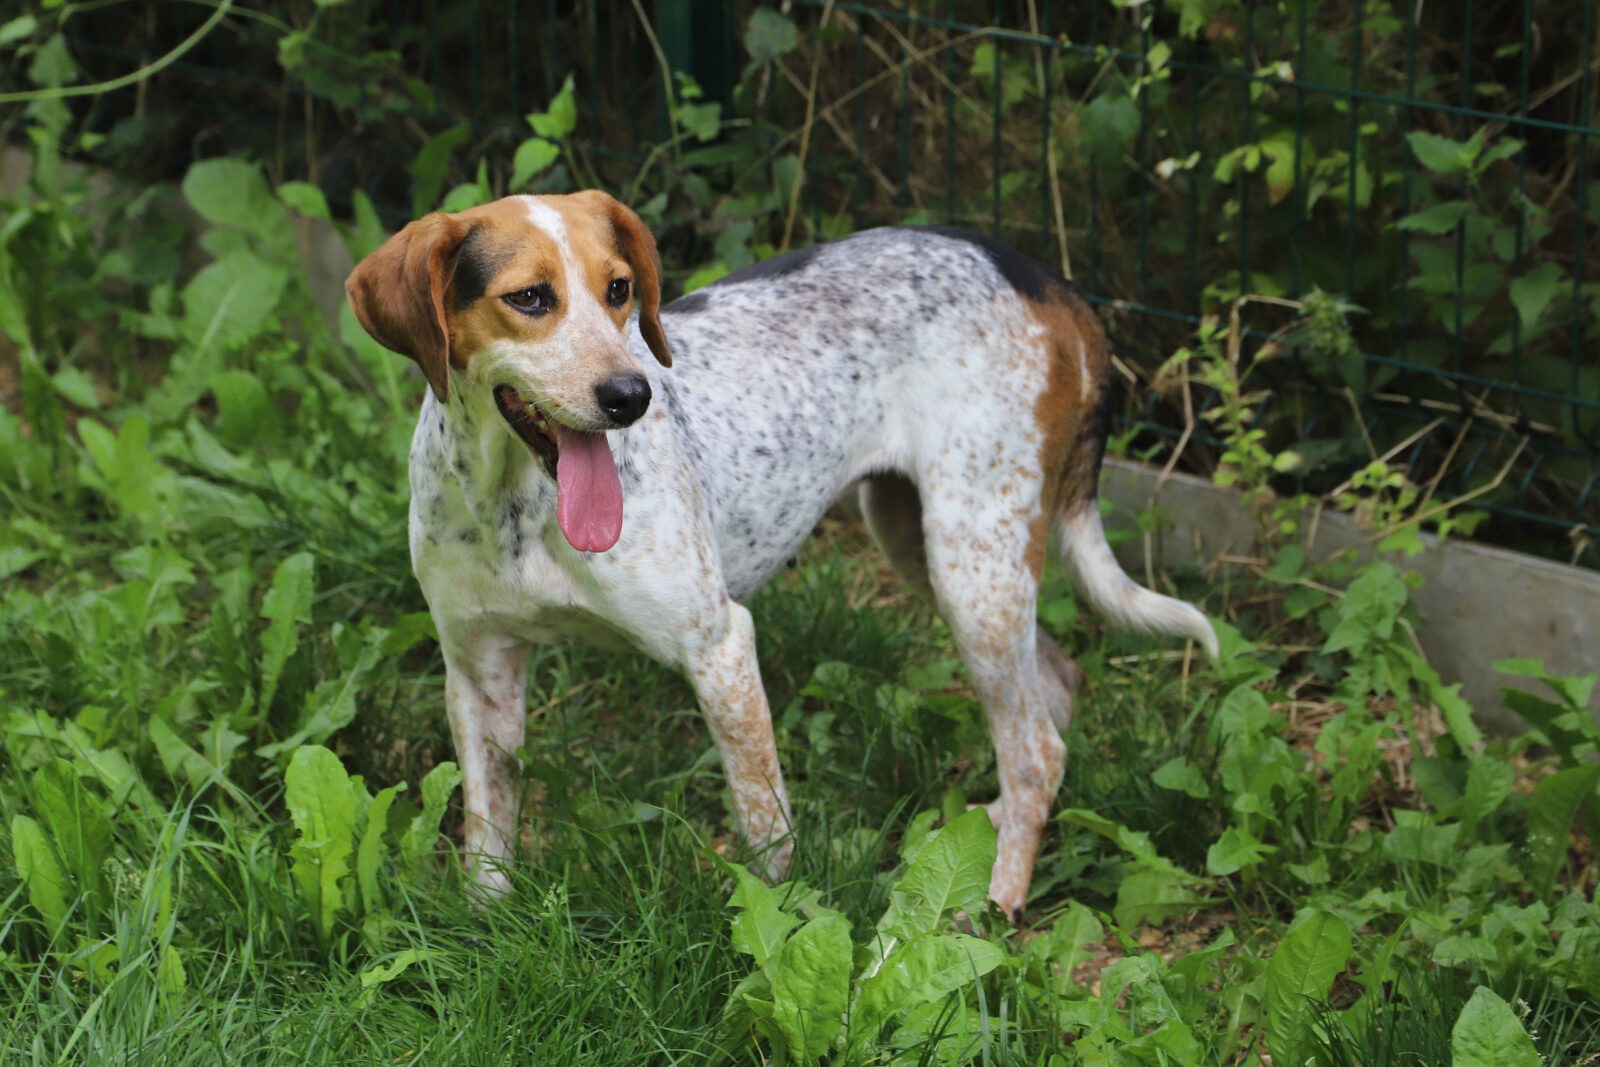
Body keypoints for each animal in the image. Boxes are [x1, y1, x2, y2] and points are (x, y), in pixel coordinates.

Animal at [340, 187, 1209, 921]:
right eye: (528, 298)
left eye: (619, 289)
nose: (633, 396)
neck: (514, 501)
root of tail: (1040, 274)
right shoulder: (478, 669)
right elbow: (486, 845)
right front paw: (483, 935)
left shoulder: (721, 647)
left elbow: (768, 836)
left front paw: (778, 925)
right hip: (929, 548)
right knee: (1052, 694)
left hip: (974, 568)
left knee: (1034, 750)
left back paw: (992, 906)